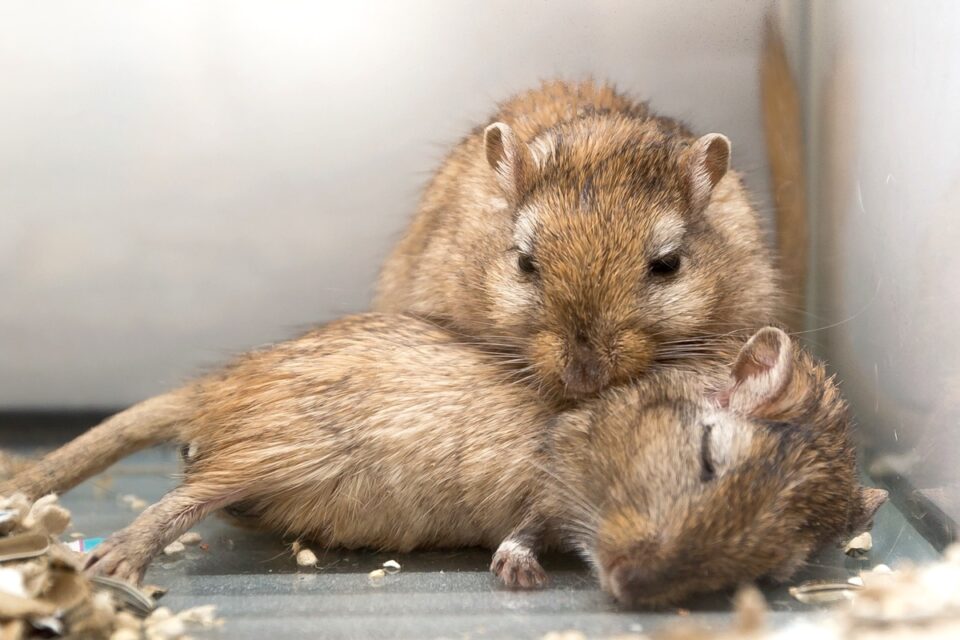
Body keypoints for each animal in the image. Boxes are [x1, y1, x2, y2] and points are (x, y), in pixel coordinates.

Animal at [1, 315, 884, 607]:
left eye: (773, 566)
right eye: (706, 455)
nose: (629, 589)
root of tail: (211, 389)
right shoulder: (546, 480)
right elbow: (527, 524)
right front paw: (519, 572)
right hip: (288, 449)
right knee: (184, 496)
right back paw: (118, 557)